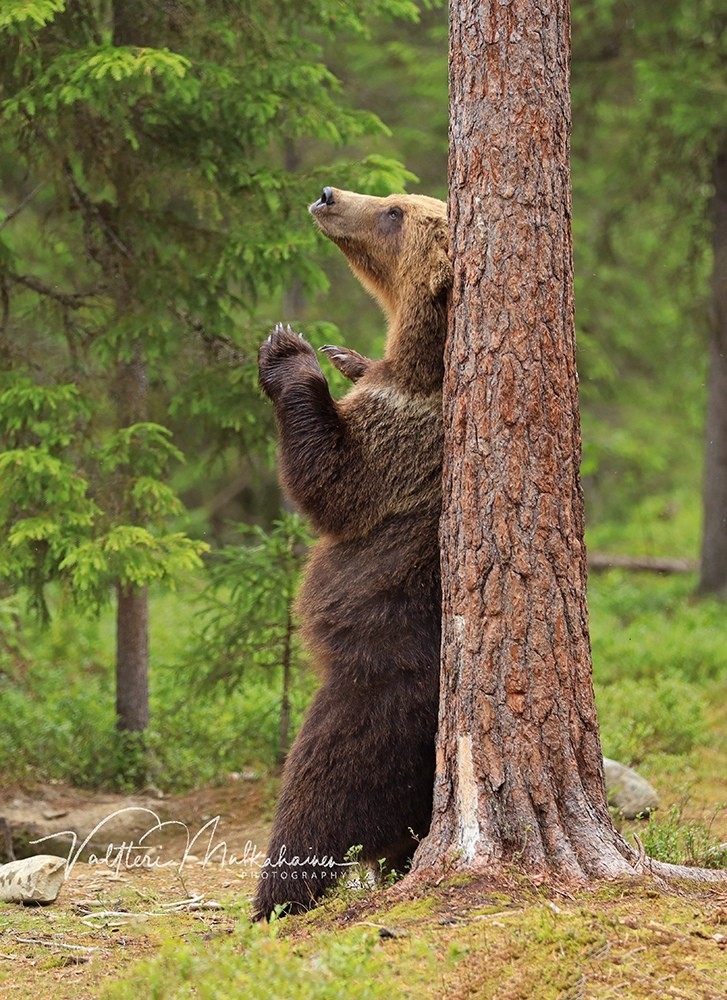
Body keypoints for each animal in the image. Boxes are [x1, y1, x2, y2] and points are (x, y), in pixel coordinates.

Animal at [253, 184, 452, 916]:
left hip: (366, 709)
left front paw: (289, 350)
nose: (328, 193)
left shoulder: (407, 434)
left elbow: (334, 483)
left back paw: (274, 900)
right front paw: (342, 354)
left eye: (394, 211)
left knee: (315, 804)